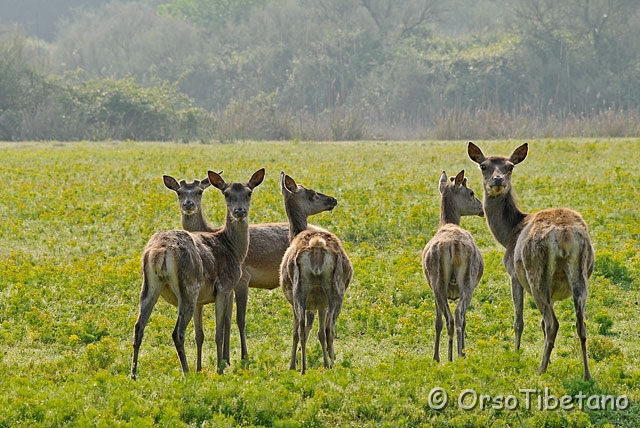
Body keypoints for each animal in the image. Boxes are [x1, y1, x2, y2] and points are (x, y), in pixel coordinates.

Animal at [131, 167, 264, 378]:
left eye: (249, 192)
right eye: (226, 194)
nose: (240, 211)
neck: (233, 249)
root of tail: (160, 251)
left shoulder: (203, 300)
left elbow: (199, 334)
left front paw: (201, 367)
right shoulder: (225, 286)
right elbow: (219, 331)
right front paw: (220, 368)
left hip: (149, 285)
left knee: (138, 326)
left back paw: (134, 374)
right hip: (189, 286)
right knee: (177, 332)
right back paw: (186, 373)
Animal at [278, 172, 352, 372]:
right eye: (312, 193)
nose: (333, 199)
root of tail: (317, 247)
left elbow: (301, 331)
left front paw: (292, 365)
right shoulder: (319, 303)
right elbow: (318, 331)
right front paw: (327, 361)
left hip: (301, 291)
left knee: (304, 330)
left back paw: (303, 368)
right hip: (332, 290)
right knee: (327, 330)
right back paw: (329, 364)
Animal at [422, 169, 482, 362]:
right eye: (471, 192)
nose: (482, 208)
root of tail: (454, 245)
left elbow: (437, 321)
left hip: (438, 281)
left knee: (449, 318)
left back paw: (447, 356)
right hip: (467, 282)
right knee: (458, 315)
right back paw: (457, 354)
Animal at [464, 142, 596, 380]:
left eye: (510, 167)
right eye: (484, 166)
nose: (498, 180)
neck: (508, 233)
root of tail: (564, 235)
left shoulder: (513, 274)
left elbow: (519, 321)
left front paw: (516, 354)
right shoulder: (554, 289)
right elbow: (542, 324)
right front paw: (549, 359)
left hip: (535, 273)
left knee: (553, 323)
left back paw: (540, 370)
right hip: (580, 273)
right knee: (580, 324)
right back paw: (586, 375)